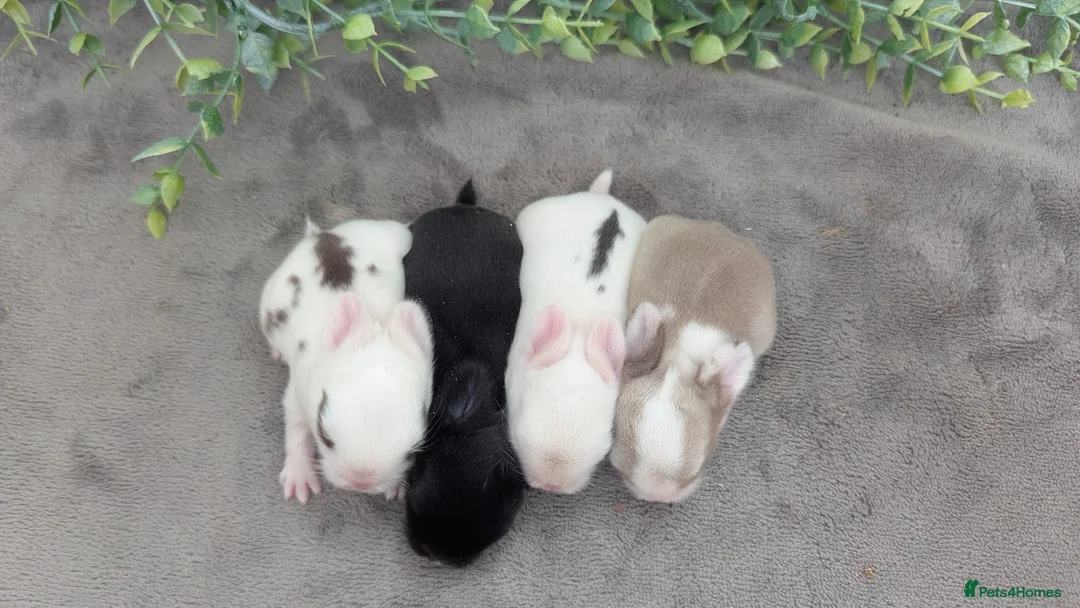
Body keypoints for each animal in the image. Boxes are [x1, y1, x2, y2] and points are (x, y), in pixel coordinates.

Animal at [259, 218, 434, 504]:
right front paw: (299, 480)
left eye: (414, 451)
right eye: (324, 434)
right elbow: (297, 434)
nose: (361, 482)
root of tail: (321, 237)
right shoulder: (296, 397)